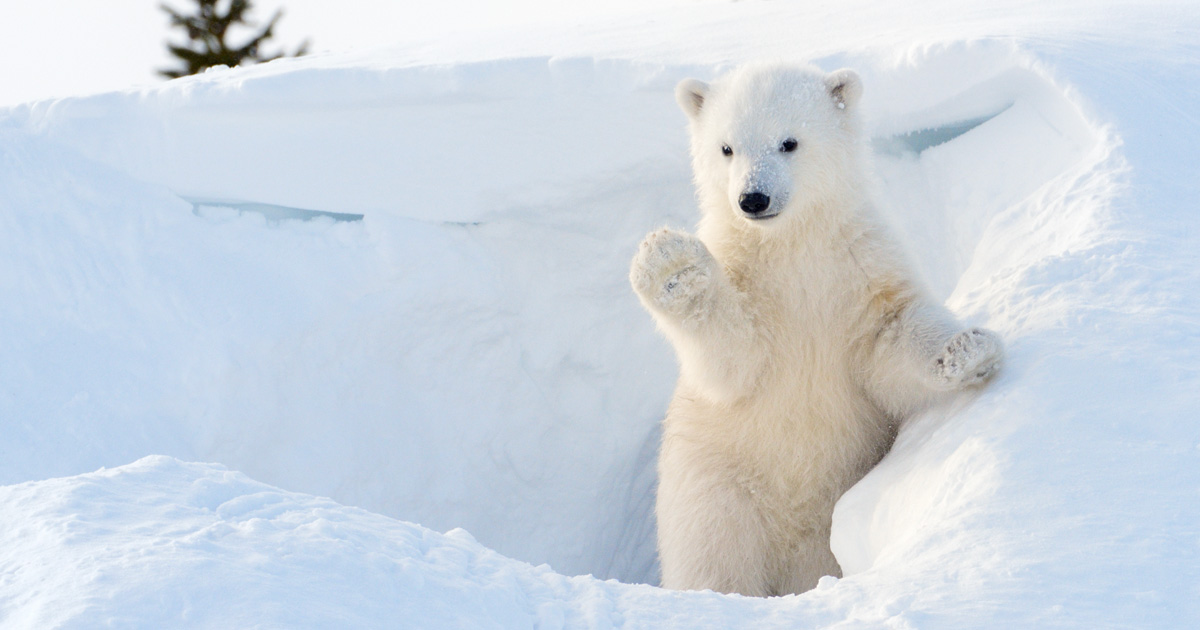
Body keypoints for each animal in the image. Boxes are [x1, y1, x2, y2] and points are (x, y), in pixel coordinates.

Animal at [629, 63, 1003, 597]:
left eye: (789, 142)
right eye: (726, 148)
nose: (752, 198)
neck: (790, 245)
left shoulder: (859, 266)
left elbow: (890, 337)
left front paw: (967, 350)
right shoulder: (747, 280)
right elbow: (734, 361)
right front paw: (671, 266)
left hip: (824, 519)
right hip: (716, 489)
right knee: (715, 559)